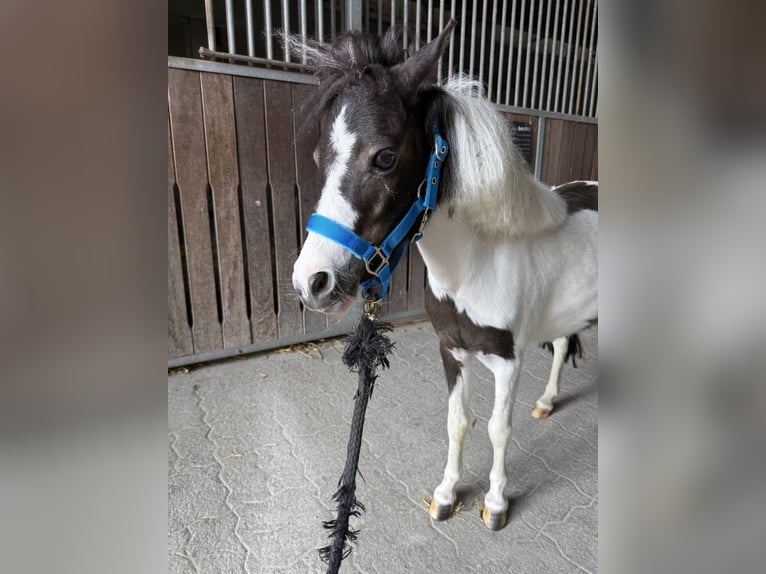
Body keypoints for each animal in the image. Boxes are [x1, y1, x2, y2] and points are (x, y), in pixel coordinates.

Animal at [287, 20, 598, 531]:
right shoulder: (451, 350)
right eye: (319, 158)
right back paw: (548, 401)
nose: (312, 282)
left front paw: (495, 503)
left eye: (384, 157)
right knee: (559, 346)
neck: (476, 265)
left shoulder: (508, 362)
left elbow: (497, 428)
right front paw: (446, 494)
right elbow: (457, 421)